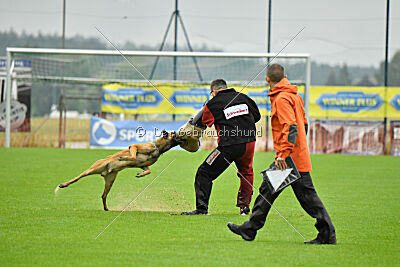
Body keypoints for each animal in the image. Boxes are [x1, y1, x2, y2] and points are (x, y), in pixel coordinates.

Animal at [55, 130, 183, 211]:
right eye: (174, 133)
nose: (181, 132)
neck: (158, 148)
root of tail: (105, 170)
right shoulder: (134, 146)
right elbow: (132, 155)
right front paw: (123, 158)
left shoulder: (144, 165)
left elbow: (148, 171)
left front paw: (140, 174)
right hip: (91, 169)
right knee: (77, 178)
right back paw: (64, 184)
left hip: (110, 182)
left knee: (103, 195)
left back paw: (106, 208)